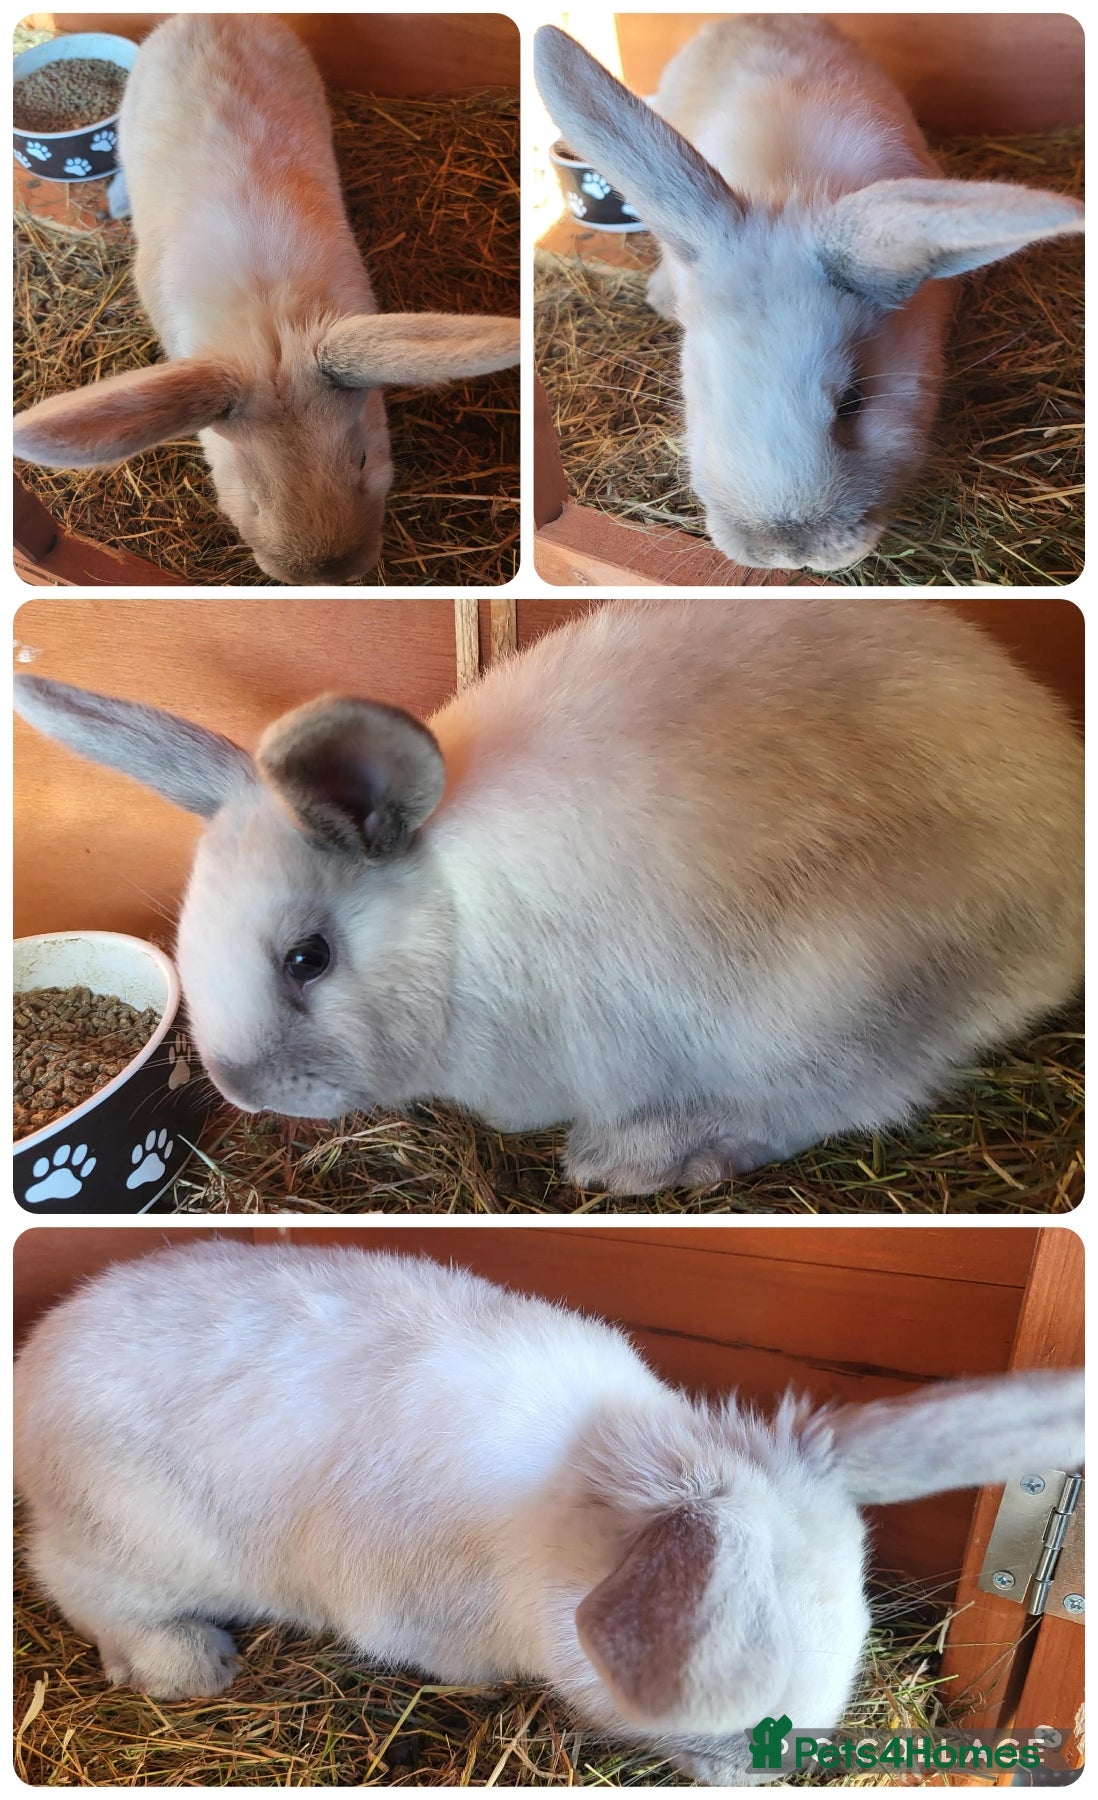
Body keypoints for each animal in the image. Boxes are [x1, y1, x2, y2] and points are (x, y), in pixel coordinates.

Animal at [12, 599, 1083, 1196]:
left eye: (307, 959)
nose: (238, 1087)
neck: (450, 925)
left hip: (825, 993)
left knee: (844, 1100)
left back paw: (638, 1158)